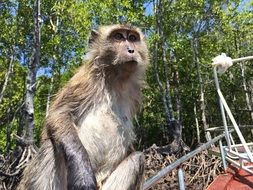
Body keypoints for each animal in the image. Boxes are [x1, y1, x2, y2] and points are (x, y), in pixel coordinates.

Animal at [18, 24, 149, 190]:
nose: (131, 50)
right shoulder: (85, 81)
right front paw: (83, 173)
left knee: (137, 158)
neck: (116, 79)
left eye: (132, 38)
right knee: (50, 146)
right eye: (118, 37)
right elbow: (59, 114)